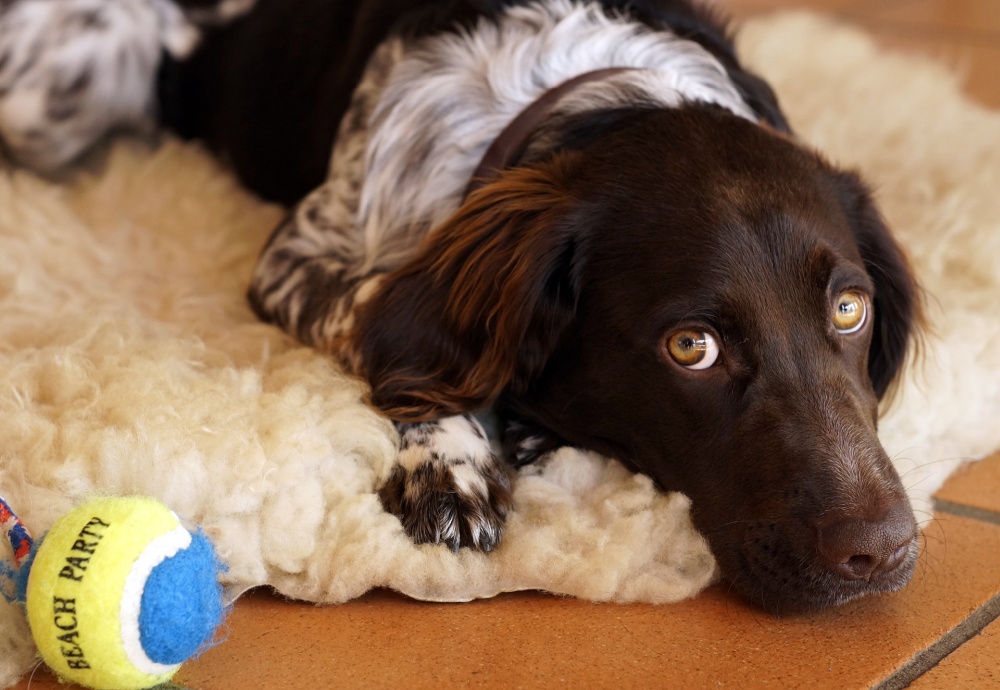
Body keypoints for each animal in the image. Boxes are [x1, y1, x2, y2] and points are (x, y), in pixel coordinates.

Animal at [0, 0, 920, 612]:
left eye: (850, 310)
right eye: (690, 346)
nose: (881, 552)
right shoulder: (299, 255)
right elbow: (393, 335)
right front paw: (454, 460)